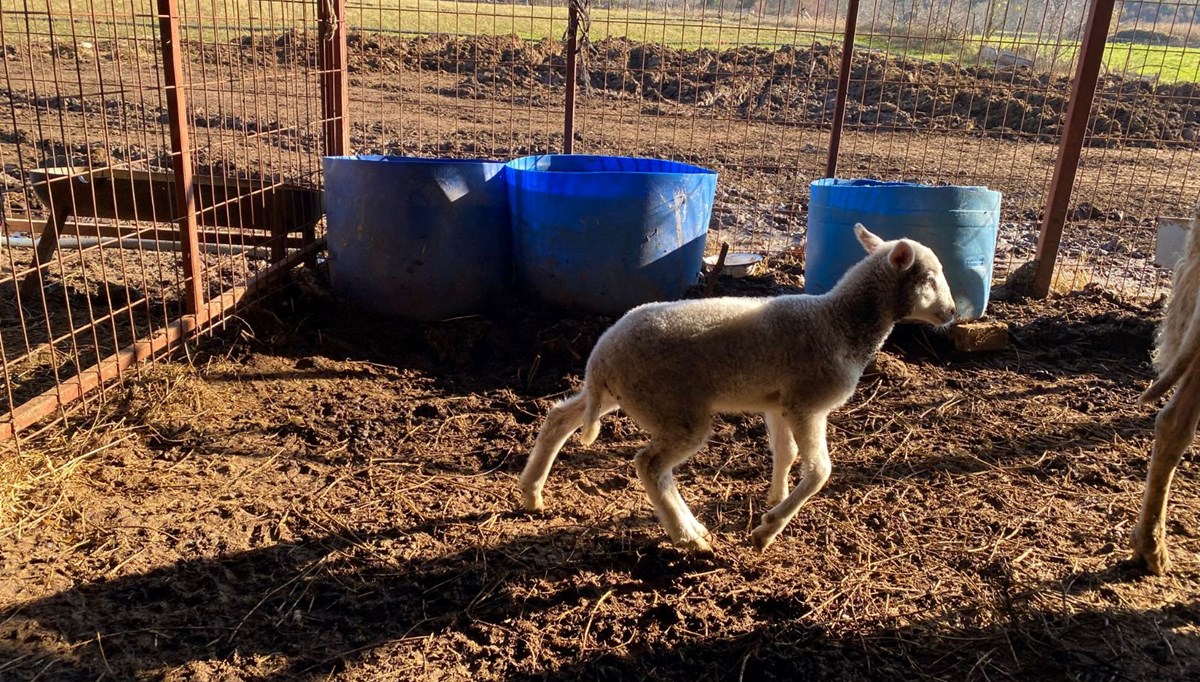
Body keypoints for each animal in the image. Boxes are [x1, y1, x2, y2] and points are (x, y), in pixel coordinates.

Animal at [516, 223, 955, 554]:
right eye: (928, 279)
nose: (952, 313)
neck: (838, 323)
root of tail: (601, 355)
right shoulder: (807, 403)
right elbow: (819, 471)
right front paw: (767, 530)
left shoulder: (778, 404)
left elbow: (786, 453)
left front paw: (775, 497)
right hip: (674, 407)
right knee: (650, 466)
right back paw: (689, 537)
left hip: (621, 394)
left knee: (560, 418)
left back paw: (532, 493)